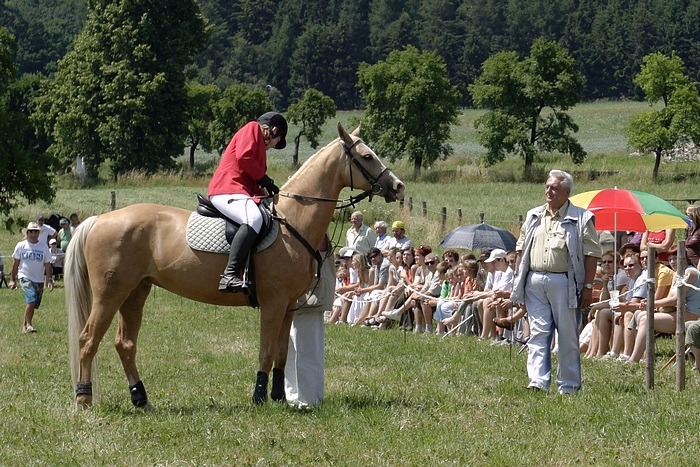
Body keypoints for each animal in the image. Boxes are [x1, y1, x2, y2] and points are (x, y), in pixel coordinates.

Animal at [67, 122, 404, 408]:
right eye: (367, 156)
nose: (398, 186)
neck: (293, 220)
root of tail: (100, 219)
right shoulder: (273, 304)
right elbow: (266, 352)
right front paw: (259, 398)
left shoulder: (289, 306)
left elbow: (281, 354)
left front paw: (279, 397)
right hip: (111, 293)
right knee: (88, 340)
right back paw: (84, 399)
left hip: (136, 292)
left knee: (124, 344)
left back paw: (141, 399)